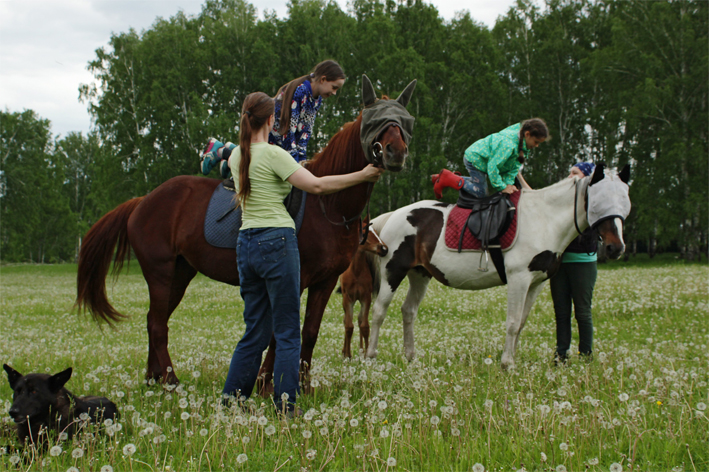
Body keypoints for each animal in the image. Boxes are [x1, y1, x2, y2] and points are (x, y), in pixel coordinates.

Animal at [76, 76, 414, 388]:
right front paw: (266, 384)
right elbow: (281, 332)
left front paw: (303, 385)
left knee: (153, 320)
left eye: (403, 122)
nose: (396, 153)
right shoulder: (295, 278)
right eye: (375, 121)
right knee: (158, 324)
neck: (329, 205)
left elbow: (309, 332)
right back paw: (171, 380)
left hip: (179, 273)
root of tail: (142, 201)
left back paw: (153, 378)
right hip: (159, 272)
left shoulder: (325, 281)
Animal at [366, 165, 632, 368]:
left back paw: (411, 357)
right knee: (379, 311)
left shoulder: (536, 283)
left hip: (420, 274)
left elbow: (521, 323)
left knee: (408, 311)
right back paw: (370, 357)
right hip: (393, 272)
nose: (615, 248)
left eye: (625, 201)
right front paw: (507, 364)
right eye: (598, 202)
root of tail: (393, 216)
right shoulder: (519, 279)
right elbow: (512, 323)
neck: (543, 219)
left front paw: (511, 360)